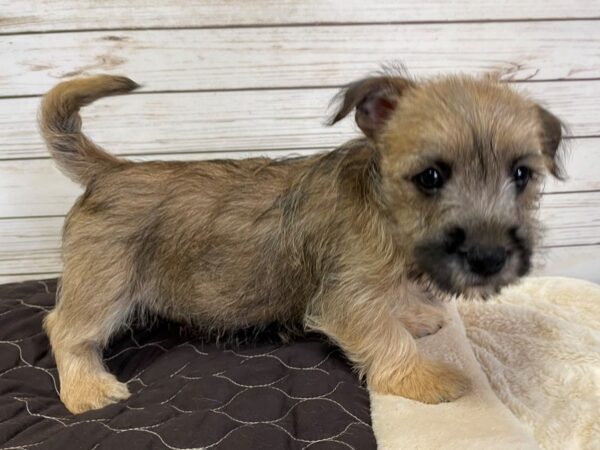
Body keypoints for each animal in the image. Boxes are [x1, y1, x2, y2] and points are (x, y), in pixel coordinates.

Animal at [41, 72, 564, 414]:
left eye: (522, 175)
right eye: (430, 176)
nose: (489, 257)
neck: (382, 207)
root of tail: (112, 171)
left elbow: (394, 309)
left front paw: (415, 316)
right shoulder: (347, 299)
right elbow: (386, 337)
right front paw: (422, 377)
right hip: (102, 287)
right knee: (64, 329)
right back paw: (88, 390)